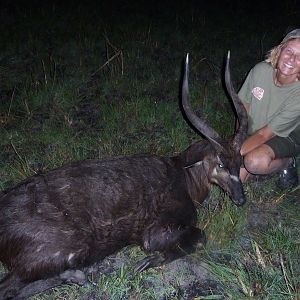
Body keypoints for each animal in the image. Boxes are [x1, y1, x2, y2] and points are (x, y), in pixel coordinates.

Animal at [0, 52, 247, 298]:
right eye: (220, 164)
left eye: (240, 161)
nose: (241, 199)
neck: (183, 178)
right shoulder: (153, 233)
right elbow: (199, 237)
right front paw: (146, 263)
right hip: (65, 249)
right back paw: (79, 275)